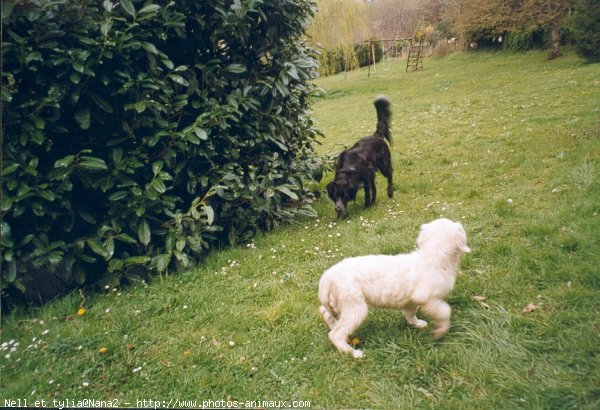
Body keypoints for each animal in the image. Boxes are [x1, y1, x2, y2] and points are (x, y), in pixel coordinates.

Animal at [316, 219, 472, 358]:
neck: (434, 256)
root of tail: (328, 276)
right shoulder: (427, 297)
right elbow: (445, 311)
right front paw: (440, 331)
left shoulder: (412, 300)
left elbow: (410, 313)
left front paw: (417, 323)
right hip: (354, 305)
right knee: (336, 334)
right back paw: (353, 353)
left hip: (337, 302)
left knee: (325, 312)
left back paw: (335, 326)